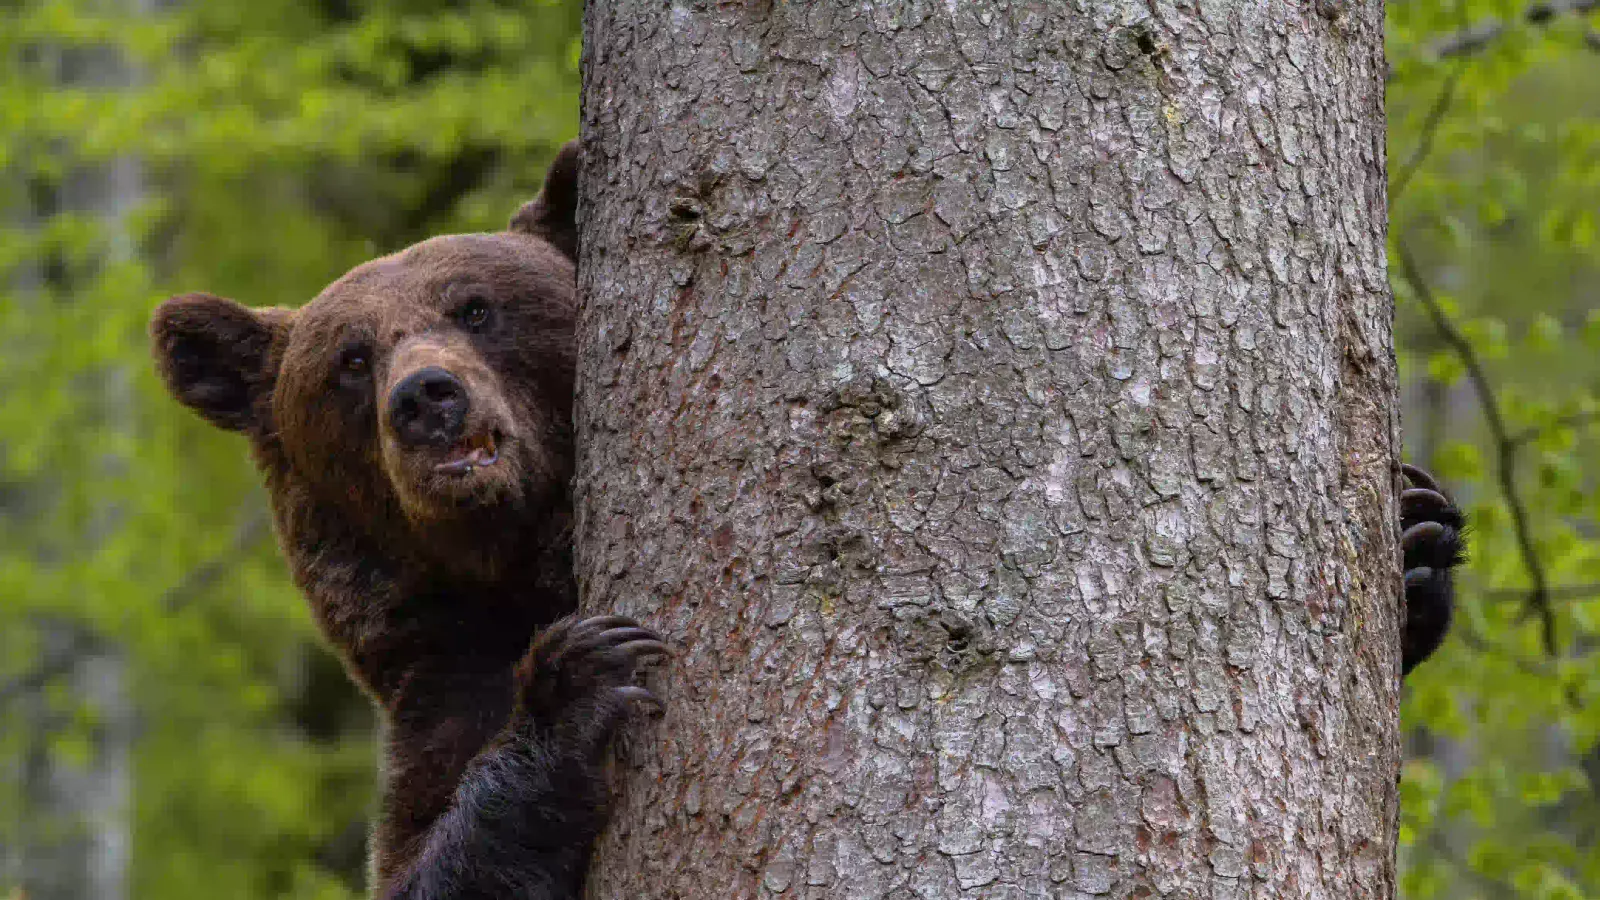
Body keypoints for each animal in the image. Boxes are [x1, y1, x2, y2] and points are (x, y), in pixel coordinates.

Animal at [149, 142, 665, 900]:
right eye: (352, 357)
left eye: (476, 308)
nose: (425, 397)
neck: (513, 568)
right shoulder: (445, 683)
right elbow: (431, 858)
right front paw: (577, 678)